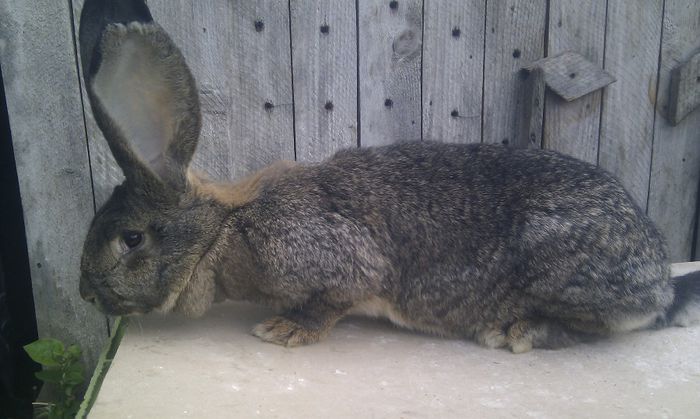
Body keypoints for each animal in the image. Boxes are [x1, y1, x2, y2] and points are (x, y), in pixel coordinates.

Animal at [74, 0, 696, 354]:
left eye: (131, 239)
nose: (85, 294)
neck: (227, 228)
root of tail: (659, 279)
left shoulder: (340, 262)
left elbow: (333, 301)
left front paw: (285, 331)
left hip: (563, 272)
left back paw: (515, 332)